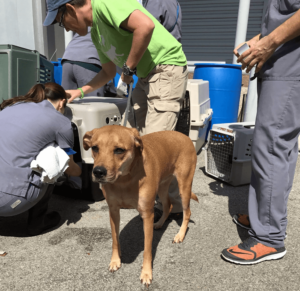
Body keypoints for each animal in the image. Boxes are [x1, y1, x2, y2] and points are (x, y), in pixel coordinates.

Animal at [83, 125, 198, 286]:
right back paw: (160, 223)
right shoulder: (113, 211)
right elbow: (115, 240)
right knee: (168, 205)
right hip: (162, 186)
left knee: (187, 212)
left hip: (184, 186)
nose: (98, 172)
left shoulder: (147, 215)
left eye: (119, 150)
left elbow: (147, 249)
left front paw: (146, 273)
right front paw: (115, 260)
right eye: (95, 148)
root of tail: (184, 136)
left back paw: (180, 235)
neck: (124, 180)